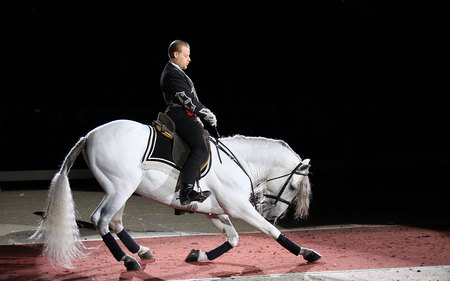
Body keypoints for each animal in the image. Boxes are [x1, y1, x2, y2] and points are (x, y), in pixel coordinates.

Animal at [32, 118, 320, 270]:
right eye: (293, 187)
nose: (274, 214)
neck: (240, 162)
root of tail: (90, 135)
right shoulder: (239, 207)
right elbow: (271, 233)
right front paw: (307, 253)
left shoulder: (216, 211)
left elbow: (234, 239)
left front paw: (198, 256)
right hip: (120, 188)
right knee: (101, 221)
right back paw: (128, 260)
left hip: (120, 189)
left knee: (114, 222)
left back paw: (143, 251)